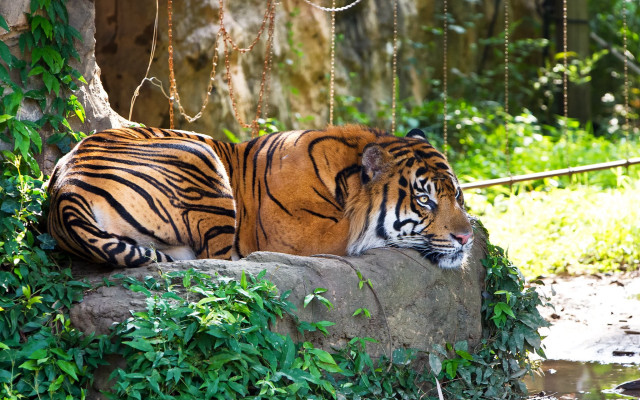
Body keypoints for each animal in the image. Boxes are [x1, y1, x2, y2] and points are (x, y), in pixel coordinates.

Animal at [47, 125, 474, 269]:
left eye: (458, 196)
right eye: (424, 200)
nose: (467, 237)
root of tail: (63, 191)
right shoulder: (313, 240)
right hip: (200, 161)